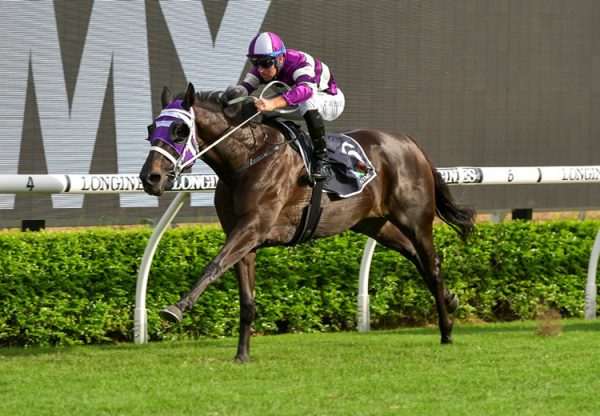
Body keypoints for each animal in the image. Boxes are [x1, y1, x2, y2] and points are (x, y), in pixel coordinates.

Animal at [138, 83, 476, 362]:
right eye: (151, 127)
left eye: (180, 130)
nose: (150, 178)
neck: (248, 158)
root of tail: (409, 142)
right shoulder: (244, 238)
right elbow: (246, 300)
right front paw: (242, 355)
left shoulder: (253, 227)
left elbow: (214, 265)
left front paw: (175, 309)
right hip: (375, 223)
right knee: (418, 257)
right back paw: (451, 300)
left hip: (415, 219)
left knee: (431, 264)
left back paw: (447, 331)